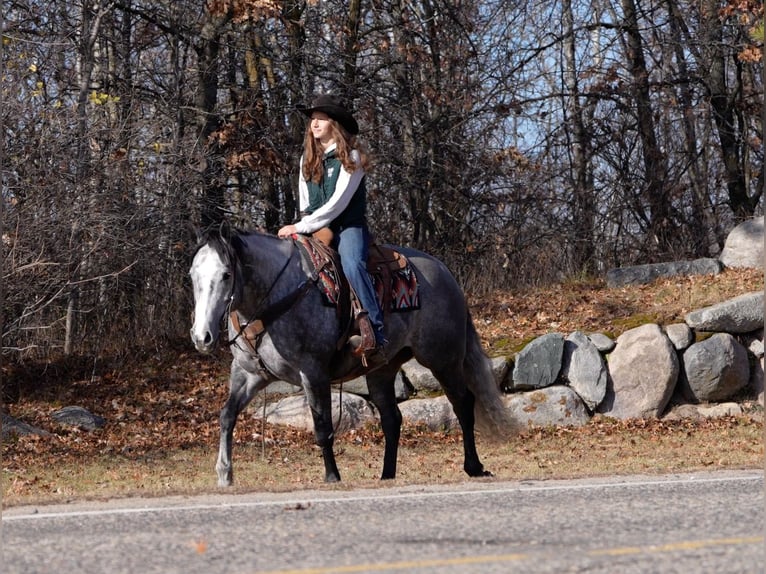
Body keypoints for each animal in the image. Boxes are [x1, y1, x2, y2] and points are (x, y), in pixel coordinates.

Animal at [189, 227, 520, 488]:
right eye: (193, 275)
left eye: (226, 274)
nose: (201, 337)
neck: (277, 294)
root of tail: (446, 274)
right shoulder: (248, 374)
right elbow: (227, 416)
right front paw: (224, 474)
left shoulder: (313, 373)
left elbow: (322, 427)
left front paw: (332, 476)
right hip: (383, 370)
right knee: (392, 418)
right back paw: (387, 475)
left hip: (443, 358)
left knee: (463, 404)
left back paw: (474, 467)